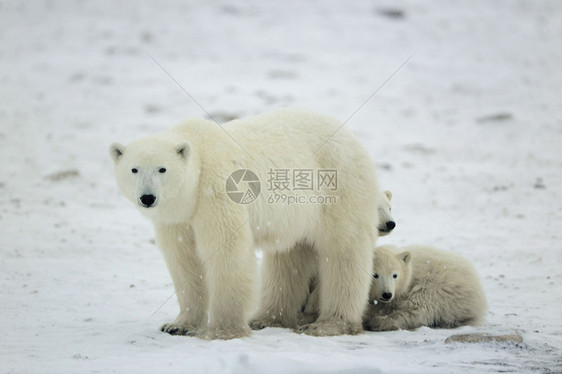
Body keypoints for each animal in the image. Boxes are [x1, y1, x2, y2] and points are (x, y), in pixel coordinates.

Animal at [108, 107, 380, 338]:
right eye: (134, 169)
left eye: (162, 169)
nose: (147, 197)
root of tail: (351, 136)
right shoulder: (178, 219)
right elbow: (183, 259)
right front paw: (178, 325)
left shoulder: (217, 191)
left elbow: (227, 250)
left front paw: (223, 330)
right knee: (288, 258)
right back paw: (267, 318)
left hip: (339, 187)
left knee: (343, 251)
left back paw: (329, 324)